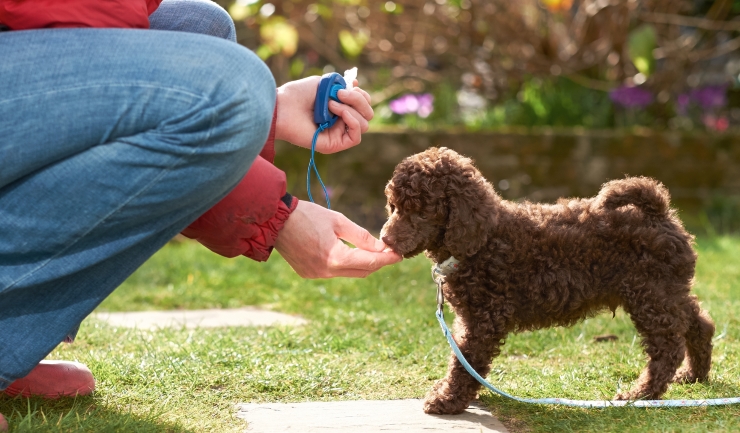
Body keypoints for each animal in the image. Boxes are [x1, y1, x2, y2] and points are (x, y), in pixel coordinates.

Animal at [378, 147, 712, 414]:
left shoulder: (484, 318)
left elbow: (465, 361)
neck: (483, 240)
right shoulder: (471, 317)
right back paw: (694, 374)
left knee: (667, 347)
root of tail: (659, 212)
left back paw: (641, 394)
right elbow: (463, 359)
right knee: (699, 322)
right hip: (667, 291)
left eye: (421, 213)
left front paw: (447, 400)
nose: (385, 239)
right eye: (394, 206)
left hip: (650, 294)